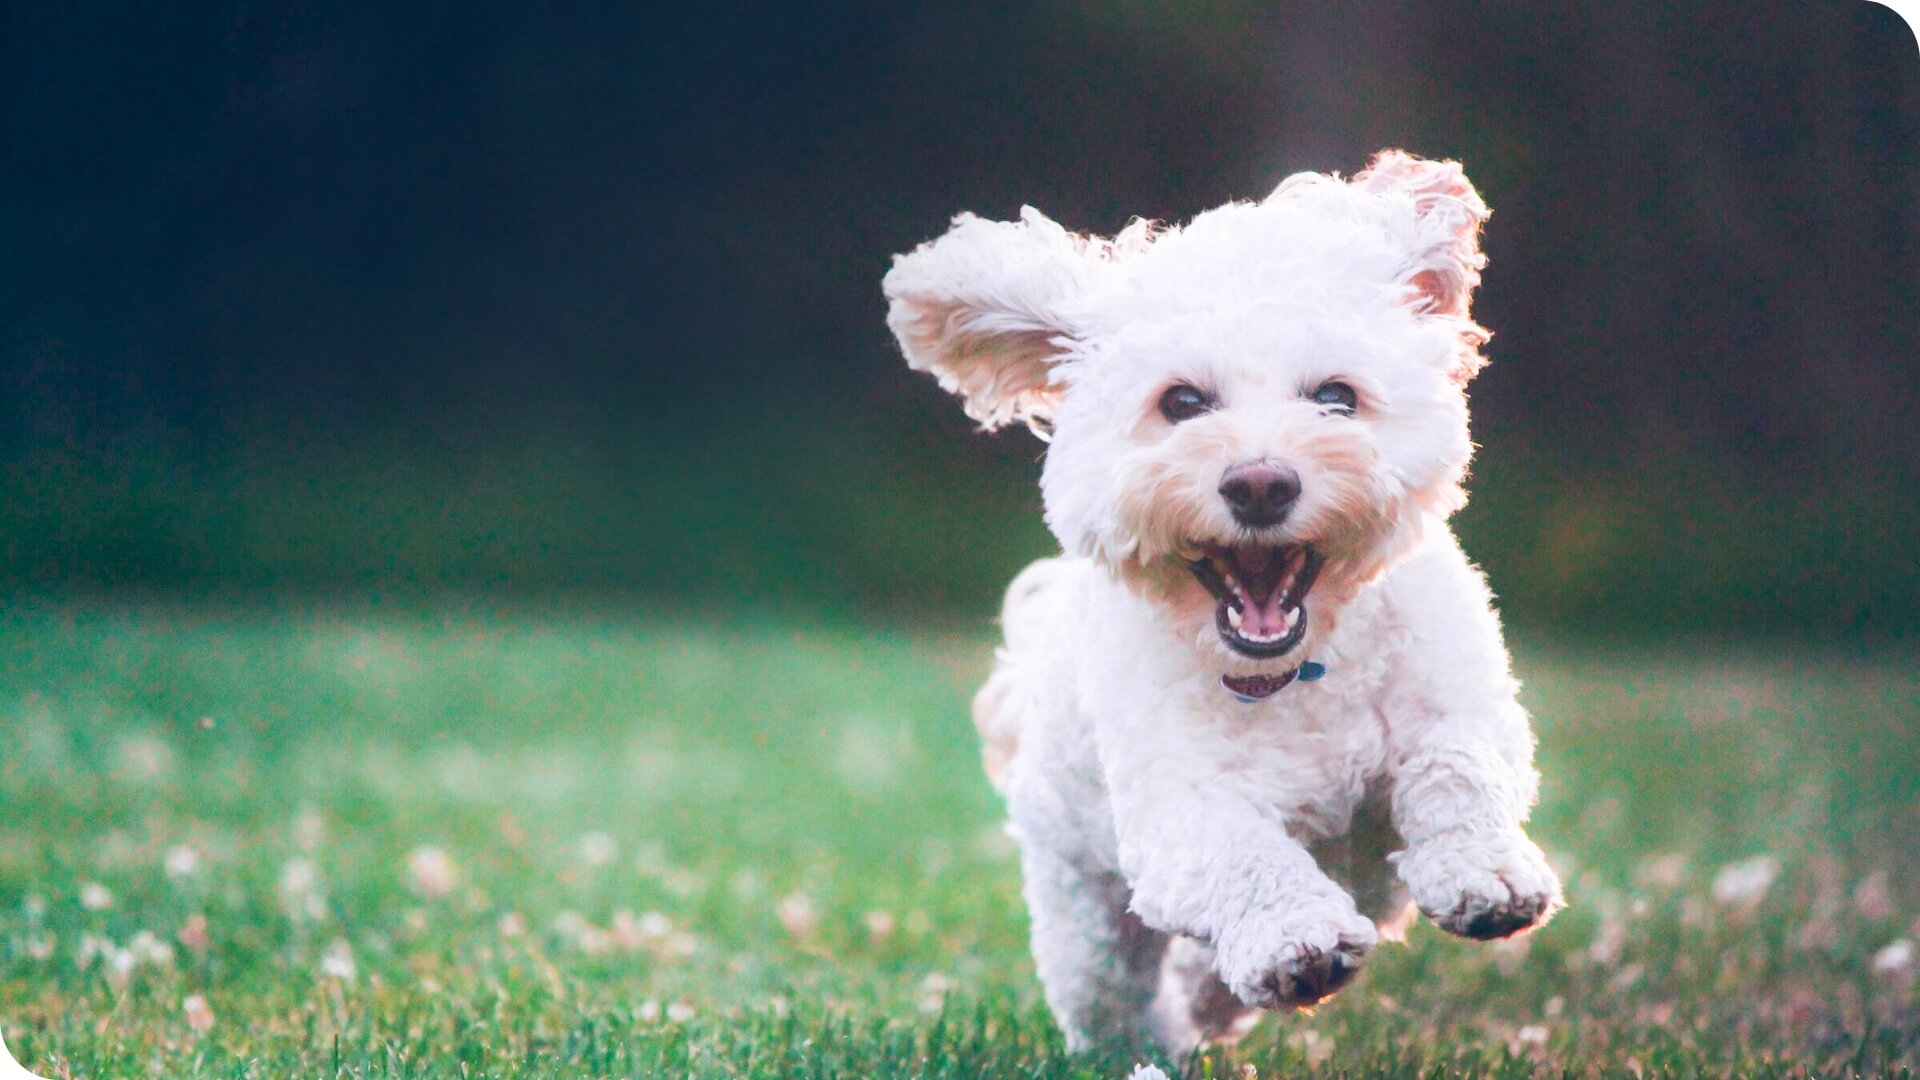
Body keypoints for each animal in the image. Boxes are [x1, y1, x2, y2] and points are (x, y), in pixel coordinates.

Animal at [879, 147, 1559, 1045]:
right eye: (1182, 402)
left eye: (1336, 396)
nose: (1261, 483)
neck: (1299, 670)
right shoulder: (1179, 813)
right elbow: (1244, 853)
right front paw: (1296, 938)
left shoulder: (1462, 705)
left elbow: (1460, 767)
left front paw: (1486, 874)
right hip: (1081, 901)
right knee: (1110, 991)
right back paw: (1159, 1035)